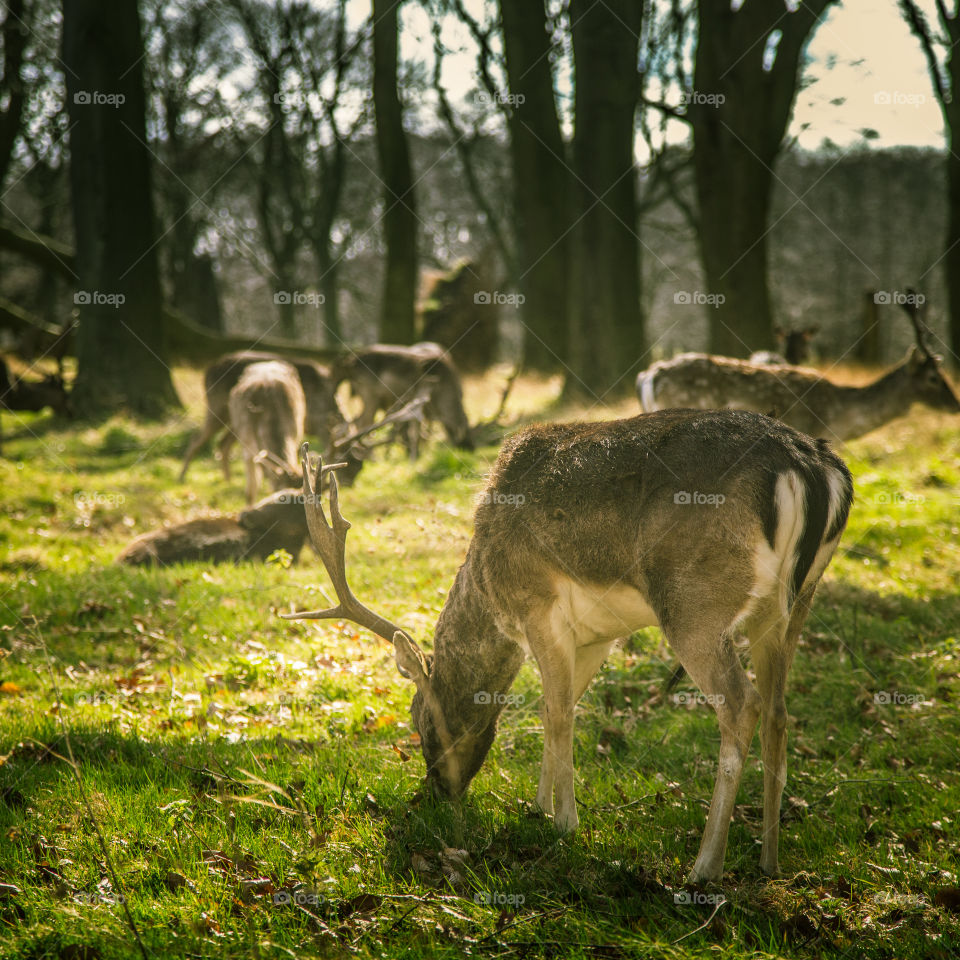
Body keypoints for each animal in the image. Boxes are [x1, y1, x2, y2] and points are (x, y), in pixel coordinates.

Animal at [178, 352, 346, 484]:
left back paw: (228, 480)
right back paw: (182, 477)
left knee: (222, 443)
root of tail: (208, 370)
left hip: (234, 421)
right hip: (216, 407)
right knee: (197, 438)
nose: (346, 484)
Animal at [284, 408, 856, 880]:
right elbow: (558, 704)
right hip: (790, 606)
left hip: (694, 604)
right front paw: (539, 805)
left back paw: (704, 868)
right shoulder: (601, 632)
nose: (435, 793)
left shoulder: (537, 604)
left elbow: (557, 710)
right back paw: (769, 860)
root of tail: (812, 469)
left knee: (743, 704)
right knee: (779, 709)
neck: (487, 584)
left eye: (417, 716)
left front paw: (564, 824)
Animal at [332, 342, 474, 458]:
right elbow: (416, 430)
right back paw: (370, 456)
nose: (470, 450)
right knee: (363, 422)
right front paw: (415, 456)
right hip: (369, 394)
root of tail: (349, 363)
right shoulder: (419, 401)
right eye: (465, 441)